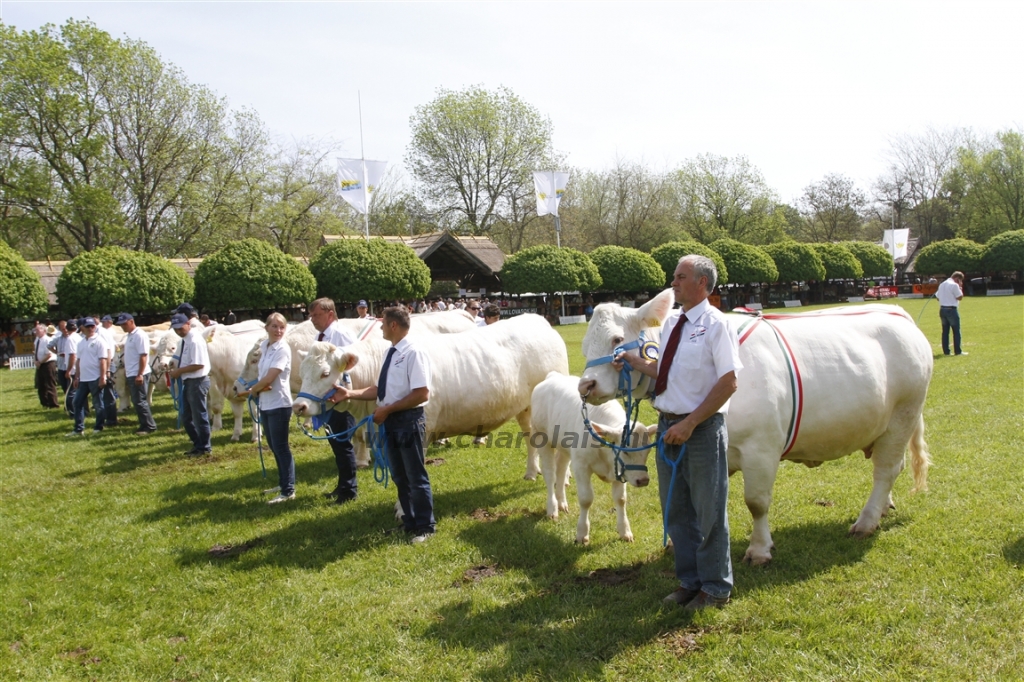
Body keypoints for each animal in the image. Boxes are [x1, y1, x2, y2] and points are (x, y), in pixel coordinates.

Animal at [292, 311, 573, 475]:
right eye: (303, 372)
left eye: (325, 373)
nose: (299, 406)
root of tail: (535, 319)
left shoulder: (420, 430)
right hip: (525, 408)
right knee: (529, 438)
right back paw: (531, 472)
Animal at [528, 368, 655, 544]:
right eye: (625, 450)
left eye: (648, 452)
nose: (643, 480)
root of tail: (552, 376)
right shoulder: (581, 466)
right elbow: (586, 499)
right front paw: (582, 533)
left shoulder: (618, 469)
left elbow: (621, 499)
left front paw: (625, 531)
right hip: (541, 438)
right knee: (550, 474)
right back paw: (552, 509)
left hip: (565, 448)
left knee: (561, 470)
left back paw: (562, 503)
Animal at [581, 290, 933, 561]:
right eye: (584, 345)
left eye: (616, 338)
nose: (585, 385)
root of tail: (898, 314)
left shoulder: (761, 450)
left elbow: (757, 503)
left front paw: (760, 549)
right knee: (891, 468)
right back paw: (883, 508)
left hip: (903, 414)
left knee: (886, 469)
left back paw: (866, 522)